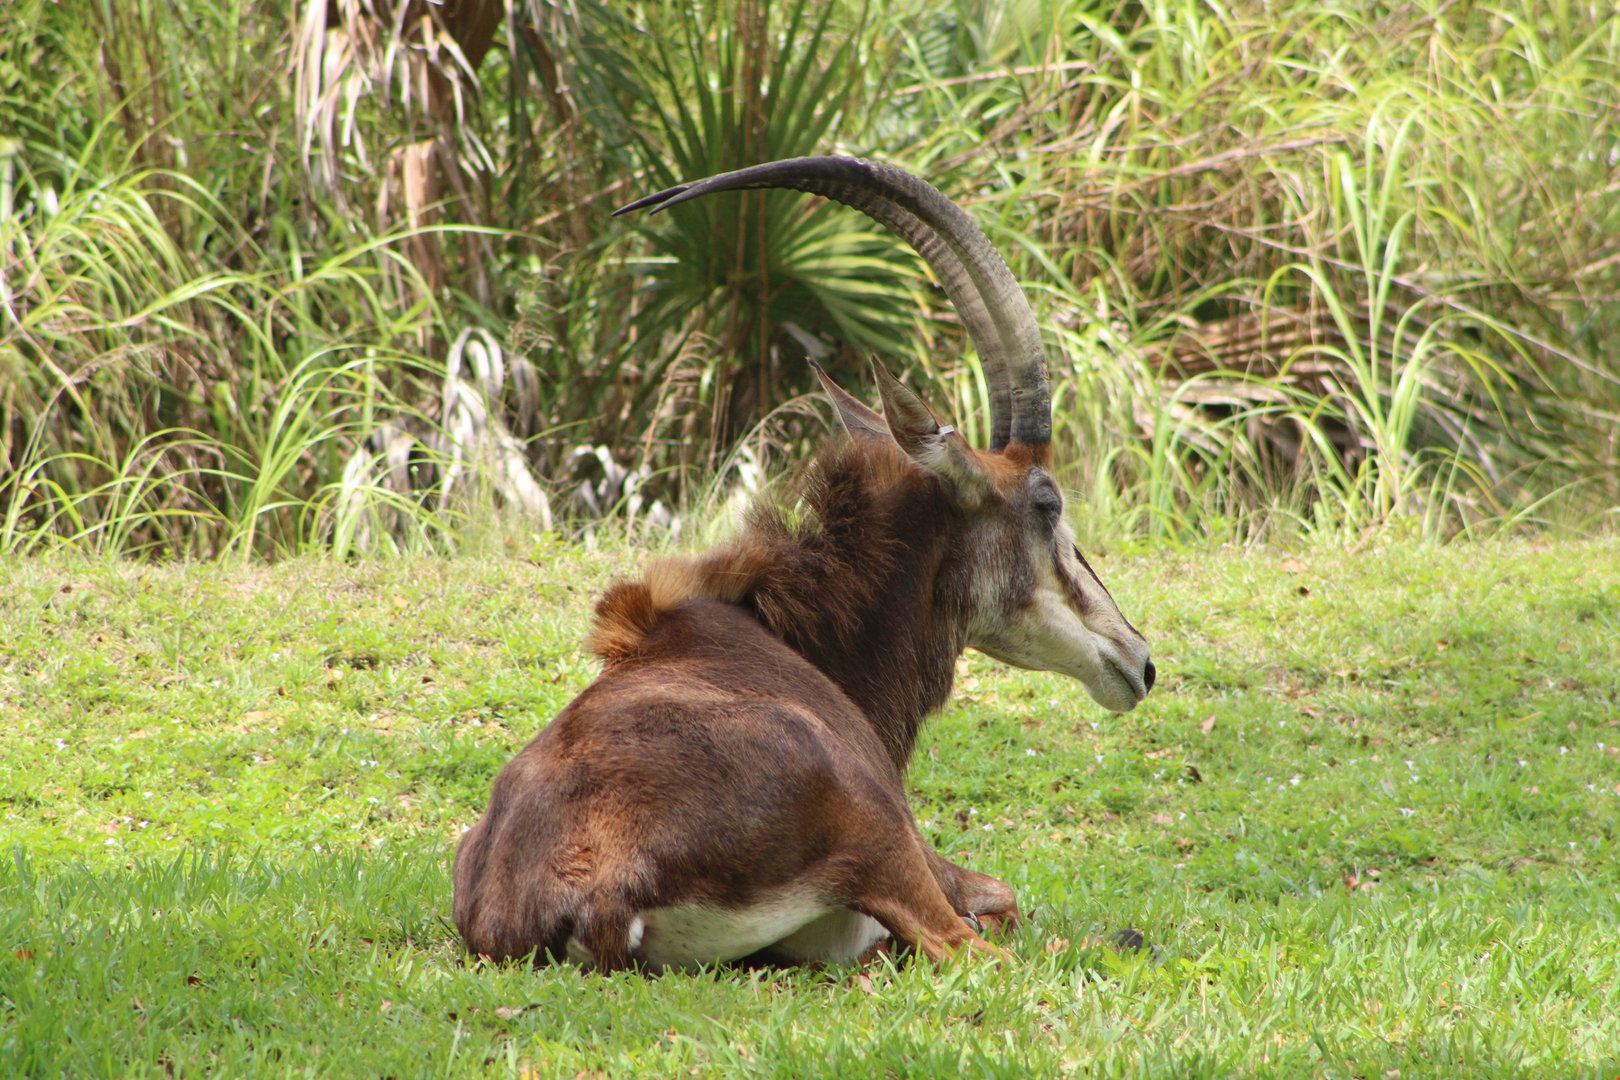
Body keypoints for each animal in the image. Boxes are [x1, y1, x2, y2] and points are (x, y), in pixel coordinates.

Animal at [453, 157, 1155, 971]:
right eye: (1046, 503)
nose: (1139, 661)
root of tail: (594, 897)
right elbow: (1004, 898)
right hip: (879, 831)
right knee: (971, 947)